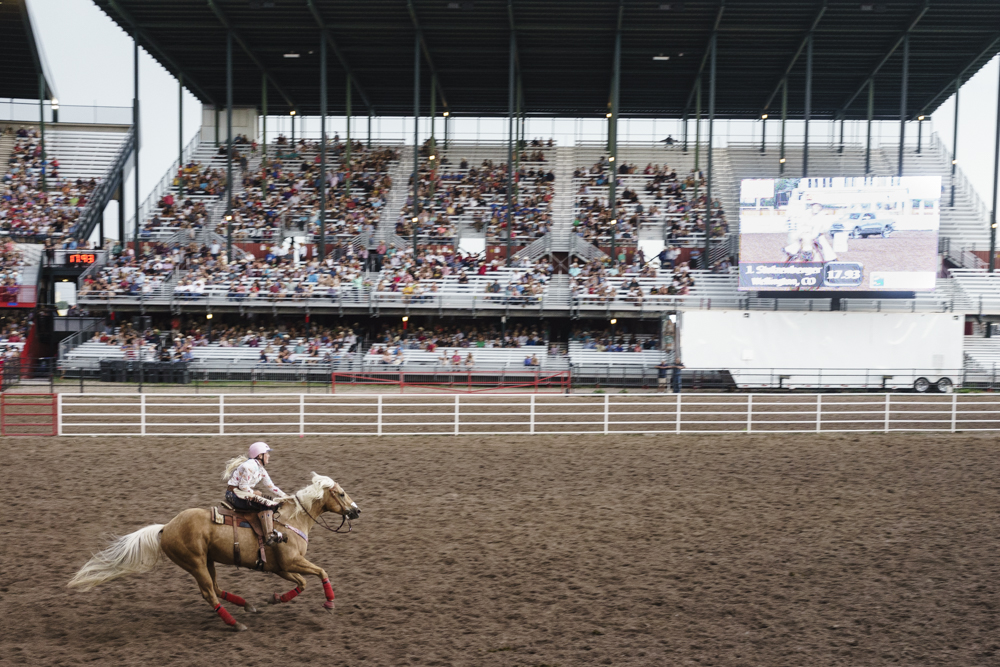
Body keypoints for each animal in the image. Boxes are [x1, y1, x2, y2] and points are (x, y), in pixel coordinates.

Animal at [69, 474, 360, 632]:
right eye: (341, 493)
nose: (356, 511)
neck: (291, 519)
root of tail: (166, 528)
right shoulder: (292, 562)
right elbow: (321, 572)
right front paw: (329, 602)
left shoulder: (282, 568)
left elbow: (302, 583)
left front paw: (276, 598)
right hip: (195, 563)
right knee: (209, 593)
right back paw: (235, 623)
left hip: (208, 560)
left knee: (217, 588)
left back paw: (248, 605)